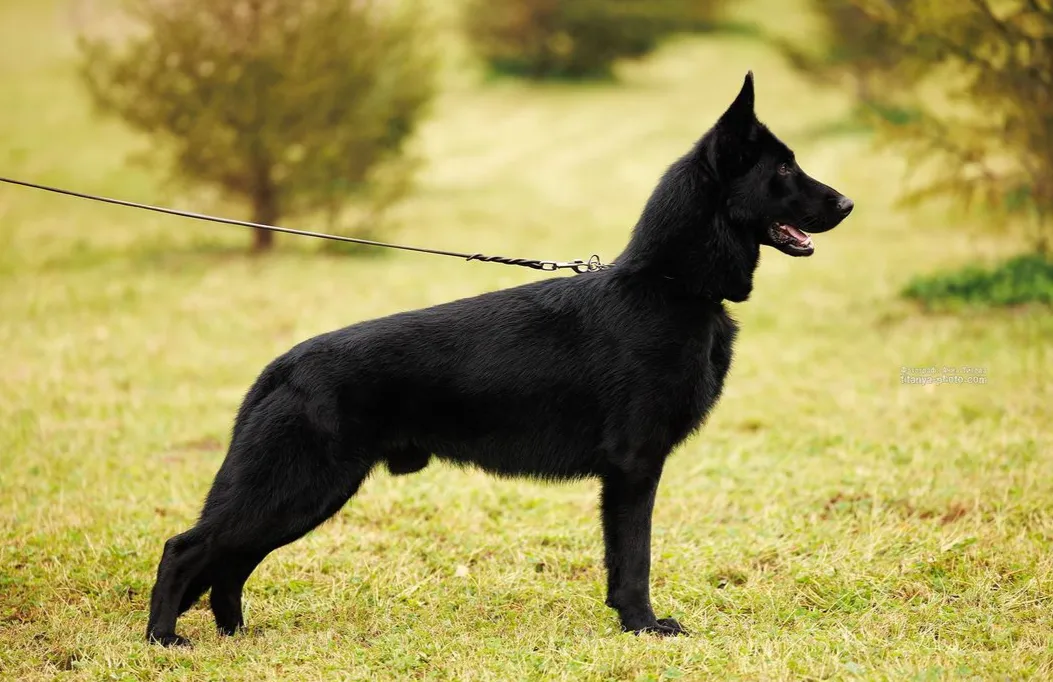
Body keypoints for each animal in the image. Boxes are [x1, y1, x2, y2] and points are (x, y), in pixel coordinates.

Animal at [146, 72, 853, 646]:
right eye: (782, 172)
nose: (848, 204)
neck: (671, 283)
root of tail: (283, 366)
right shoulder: (634, 468)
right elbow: (635, 559)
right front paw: (644, 627)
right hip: (297, 488)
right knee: (187, 549)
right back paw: (164, 639)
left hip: (305, 495)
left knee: (229, 563)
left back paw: (234, 634)